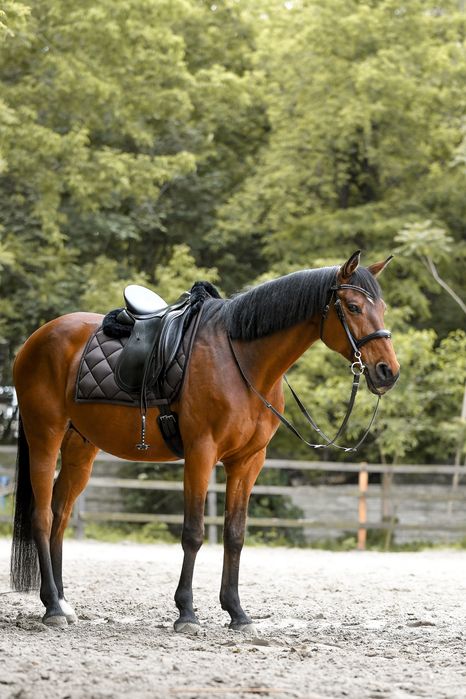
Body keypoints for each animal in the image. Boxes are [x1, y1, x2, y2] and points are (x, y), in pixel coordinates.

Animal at [10, 250, 399, 631]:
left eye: (382, 307)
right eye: (353, 307)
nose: (388, 372)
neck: (242, 361)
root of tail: (36, 339)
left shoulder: (248, 461)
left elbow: (235, 534)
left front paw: (237, 613)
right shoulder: (201, 452)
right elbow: (194, 533)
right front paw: (186, 613)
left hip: (80, 448)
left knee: (60, 515)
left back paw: (62, 602)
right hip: (44, 436)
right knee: (42, 516)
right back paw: (52, 608)